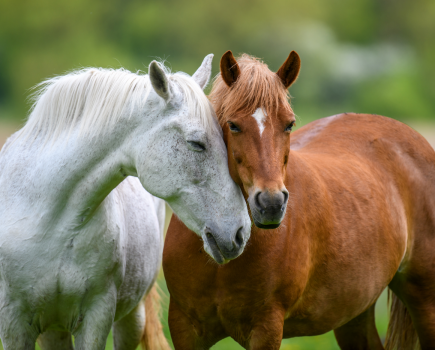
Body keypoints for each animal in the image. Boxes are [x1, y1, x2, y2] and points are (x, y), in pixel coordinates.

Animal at [0, 55, 252, 350]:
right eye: (197, 143)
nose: (241, 233)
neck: (47, 220)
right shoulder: (14, 323)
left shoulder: (96, 317)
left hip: (131, 318)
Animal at [163, 52, 435, 350]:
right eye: (233, 125)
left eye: (289, 124)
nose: (270, 204)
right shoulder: (184, 328)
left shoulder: (266, 328)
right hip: (354, 314)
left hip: (425, 302)